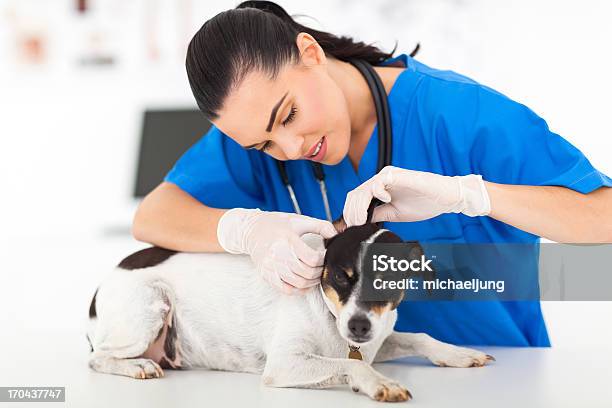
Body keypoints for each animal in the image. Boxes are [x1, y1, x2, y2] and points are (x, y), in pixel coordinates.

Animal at [88, 220, 494, 402]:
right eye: (341, 276)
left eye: (386, 281)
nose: (358, 327)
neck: (330, 314)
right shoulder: (284, 363)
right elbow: (351, 364)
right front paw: (380, 382)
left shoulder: (379, 339)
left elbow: (419, 337)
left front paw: (458, 353)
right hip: (150, 306)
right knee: (97, 358)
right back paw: (136, 366)